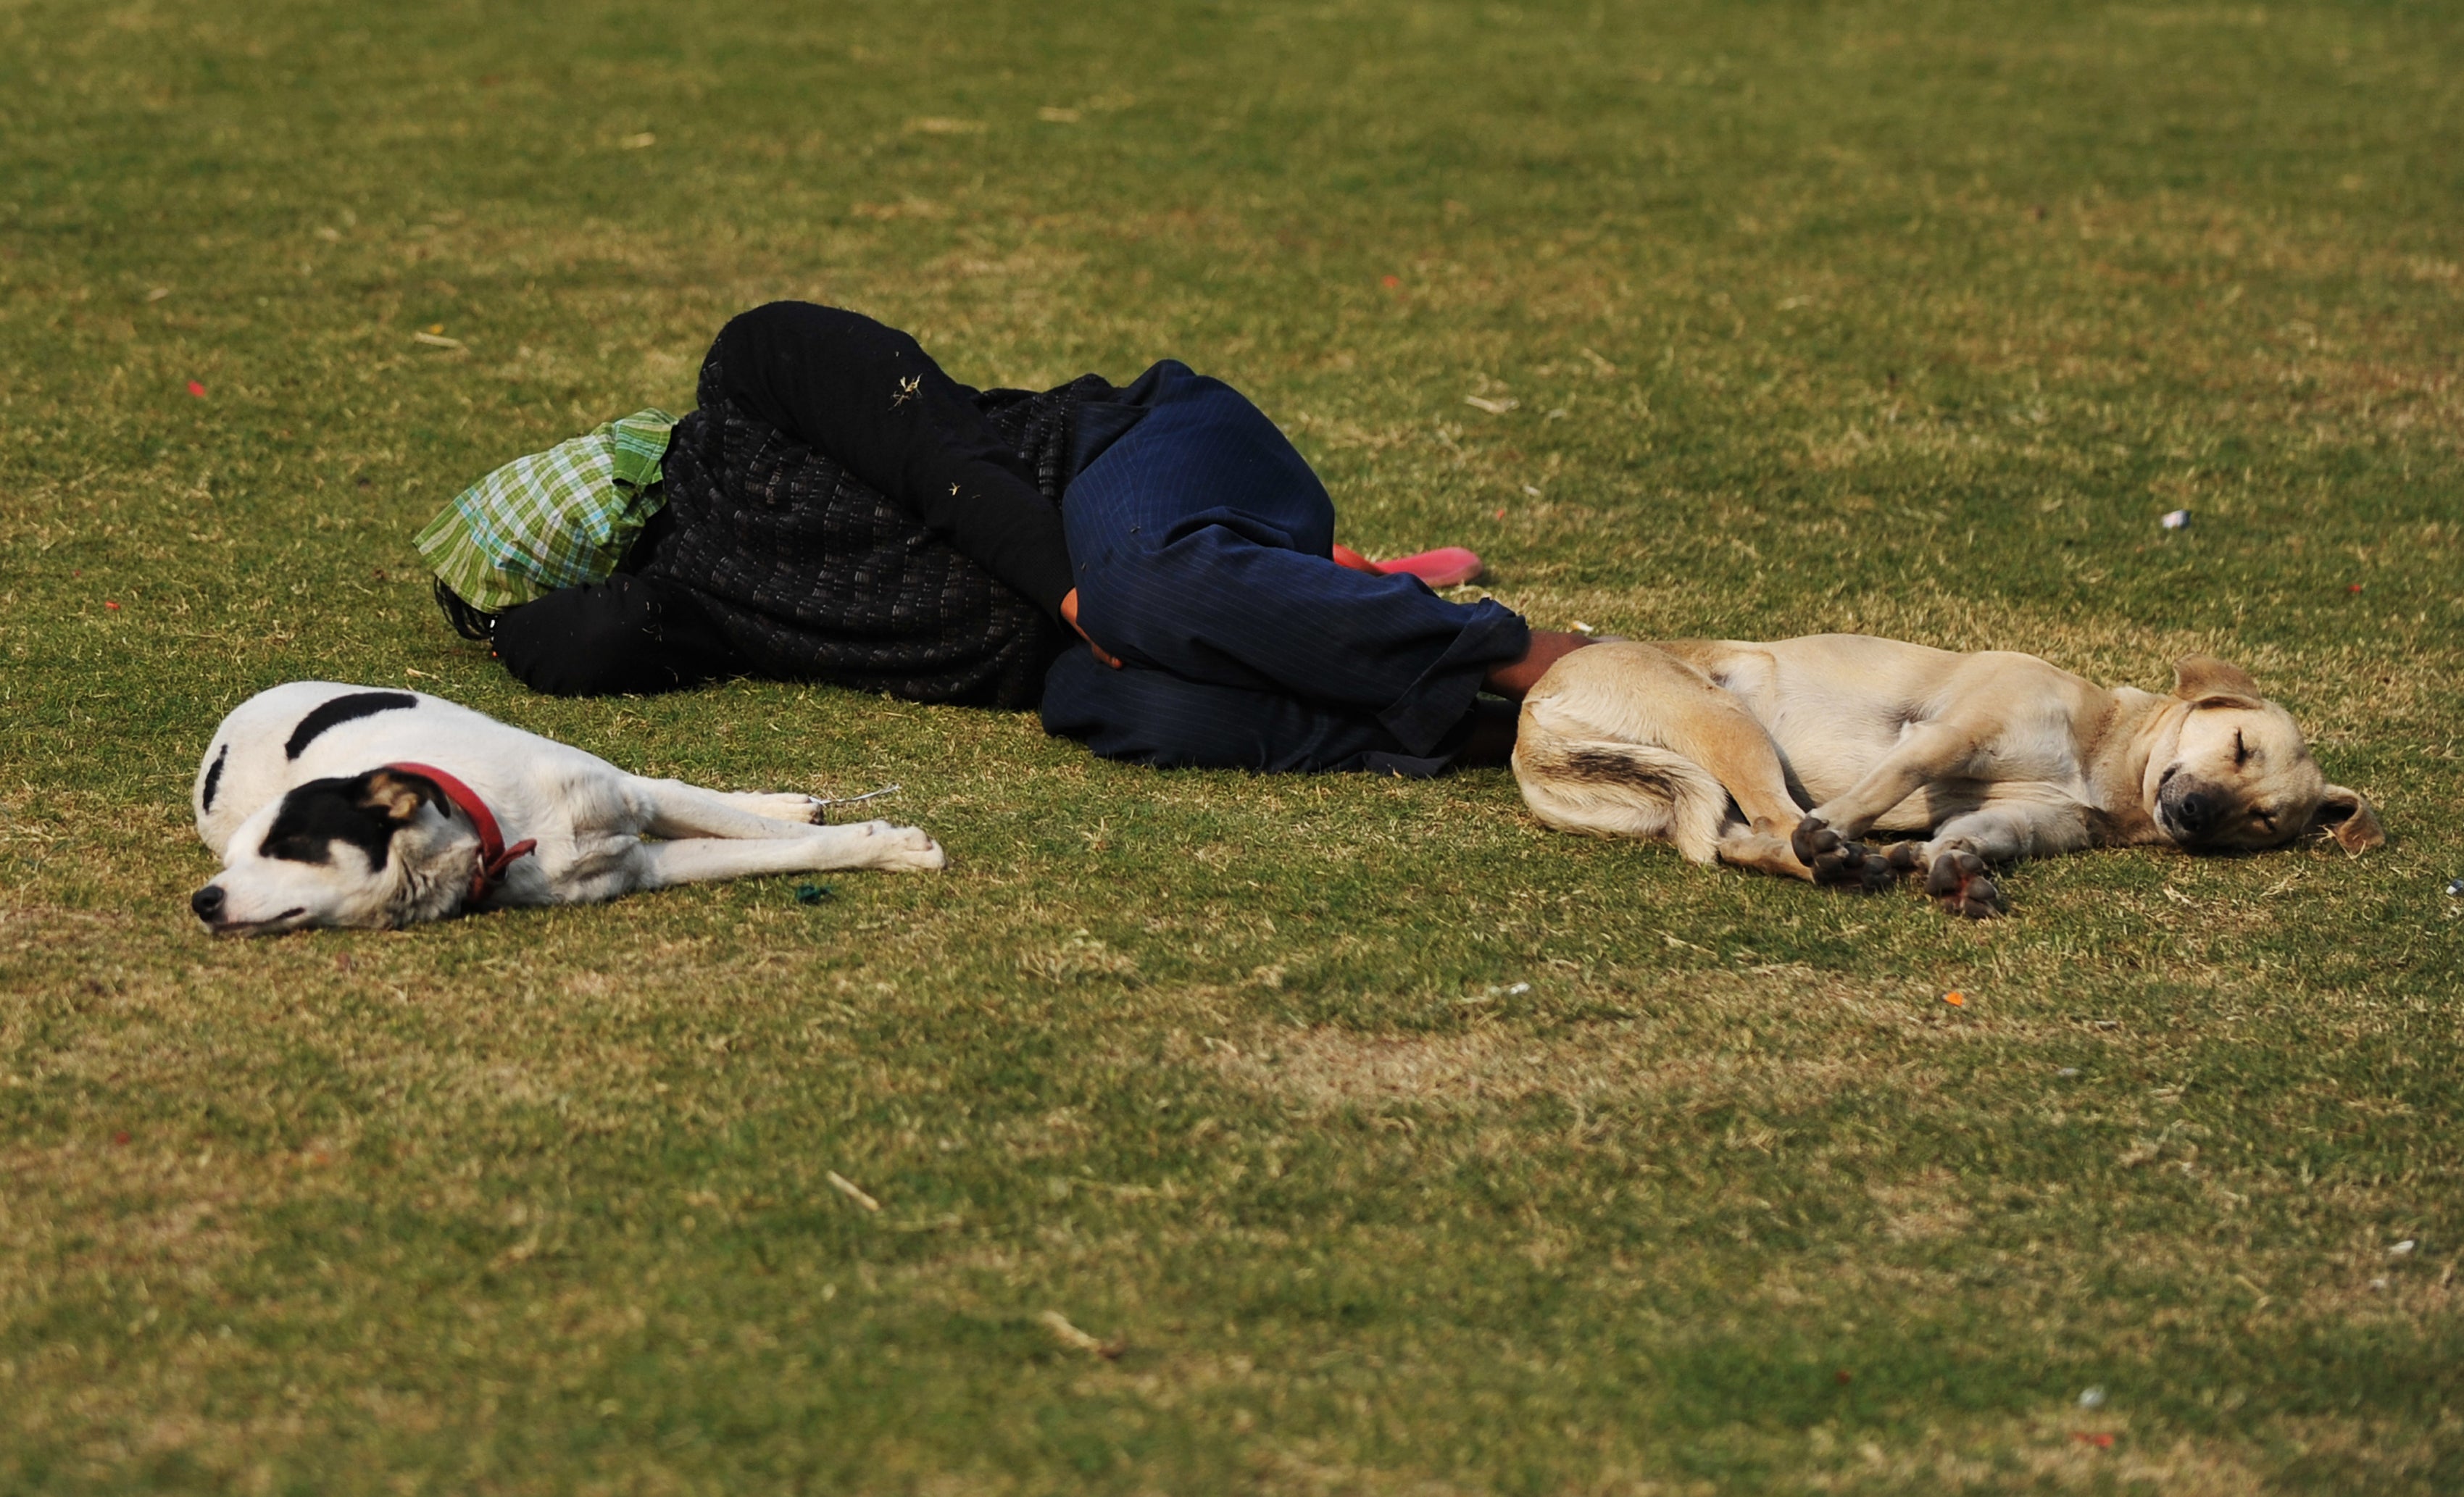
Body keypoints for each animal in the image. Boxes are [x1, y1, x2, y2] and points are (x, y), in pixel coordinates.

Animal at [189, 679, 941, 935]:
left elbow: (753, 829)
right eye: (233, 861)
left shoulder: (630, 794)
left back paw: (783, 801)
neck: (500, 832)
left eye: (286, 847)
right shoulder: (645, 869)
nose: (203, 900)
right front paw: (884, 846)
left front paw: (892, 846)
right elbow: (760, 853)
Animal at [1507, 630, 2375, 911]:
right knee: (1777, 821)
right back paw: (1834, 853)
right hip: (1729, 720)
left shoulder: (2026, 820)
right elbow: (1881, 787)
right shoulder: (1949, 734)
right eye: (2238, 745)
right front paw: (1851, 833)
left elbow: (1978, 835)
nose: (2194, 814)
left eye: (2263, 821)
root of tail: (1531, 717)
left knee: (1741, 838)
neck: (2102, 754)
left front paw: (1949, 866)